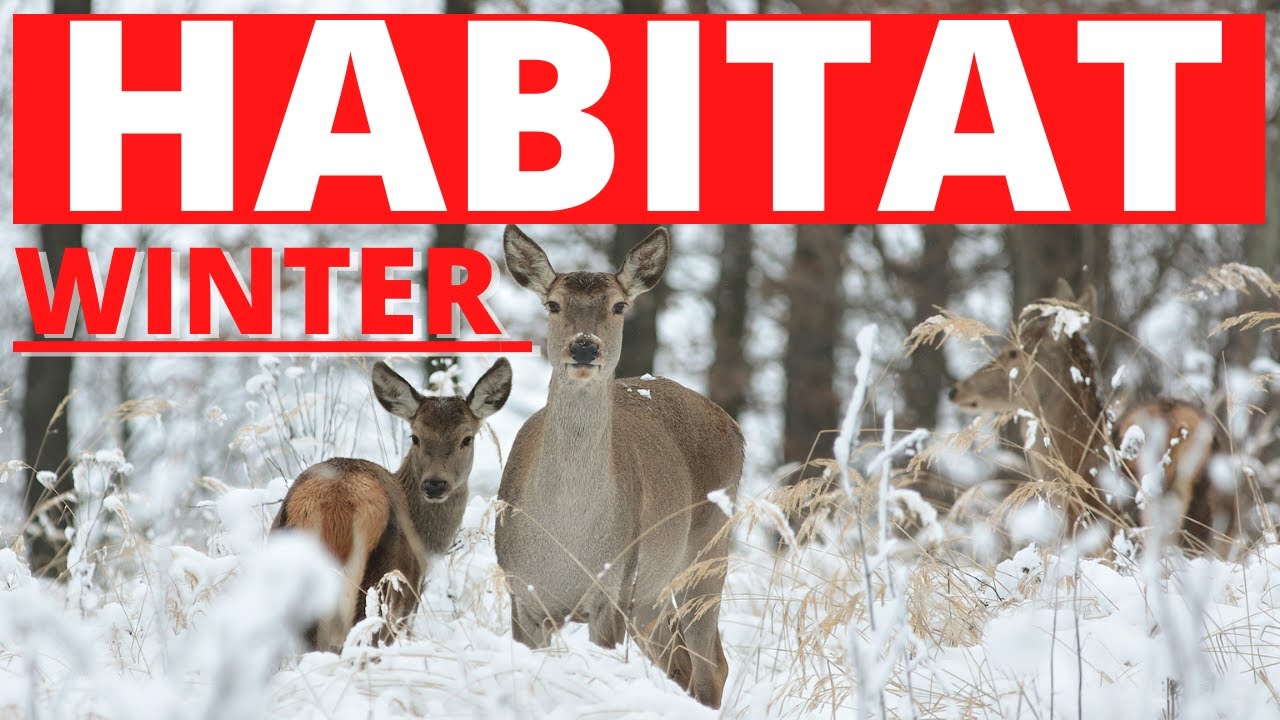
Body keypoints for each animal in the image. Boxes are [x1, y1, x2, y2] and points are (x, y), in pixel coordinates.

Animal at [271, 358, 512, 651]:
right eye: (415, 437)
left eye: (467, 438)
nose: (435, 484)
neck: (425, 544)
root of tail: (335, 505)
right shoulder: (409, 600)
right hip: (380, 590)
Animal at [495, 225, 743, 708]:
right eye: (553, 304)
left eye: (618, 305)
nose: (584, 346)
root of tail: (734, 425)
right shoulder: (522, 596)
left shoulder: (611, 590)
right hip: (650, 596)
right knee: (680, 663)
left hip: (707, 556)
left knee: (712, 667)